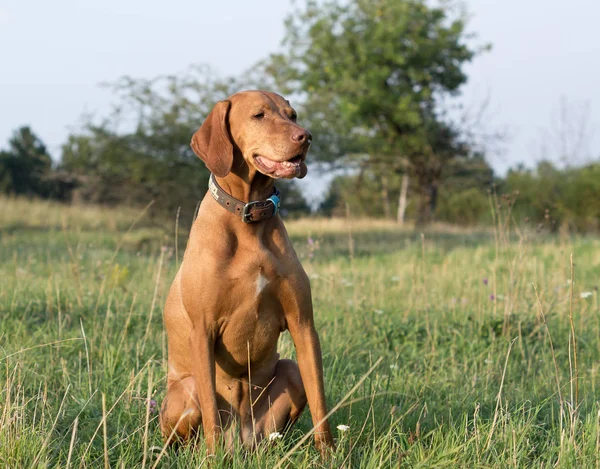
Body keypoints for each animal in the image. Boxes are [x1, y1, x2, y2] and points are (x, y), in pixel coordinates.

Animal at [159, 89, 336, 456]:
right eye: (259, 115)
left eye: (293, 115)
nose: (306, 137)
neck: (249, 218)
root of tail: (239, 439)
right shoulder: (202, 330)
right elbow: (211, 411)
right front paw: (210, 460)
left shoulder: (303, 325)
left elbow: (320, 402)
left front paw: (329, 455)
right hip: (187, 388)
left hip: (287, 377)